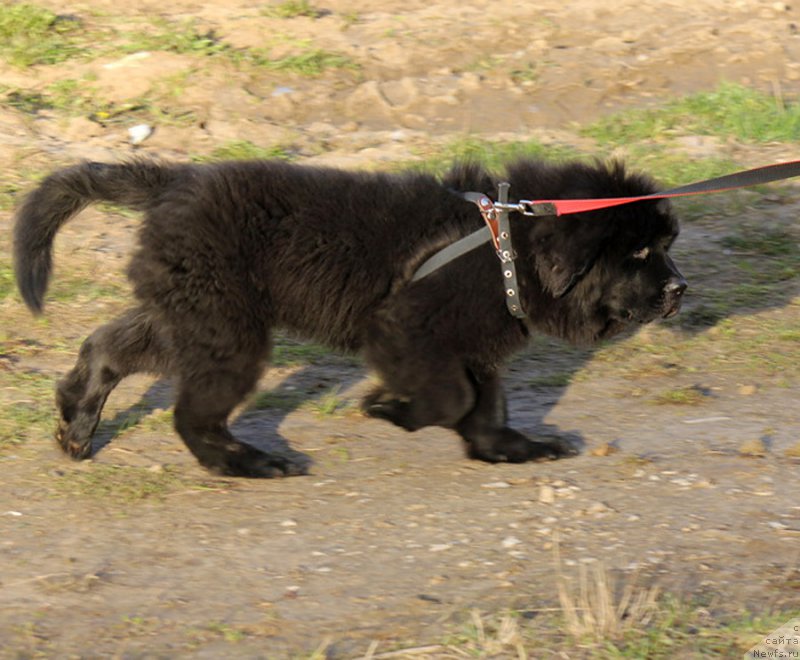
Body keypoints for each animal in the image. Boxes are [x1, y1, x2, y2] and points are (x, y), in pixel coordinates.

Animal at [12, 157, 688, 476]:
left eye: (664, 245)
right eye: (636, 254)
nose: (681, 289)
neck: (508, 246)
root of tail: (174, 181)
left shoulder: (471, 345)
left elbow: (485, 403)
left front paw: (512, 449)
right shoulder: (404, 329)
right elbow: (452, 397)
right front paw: (388, 409)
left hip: (193, 310)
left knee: (110, 345)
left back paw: (76, 423)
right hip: (227, 329)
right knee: (192, 414)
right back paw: (251, 464)